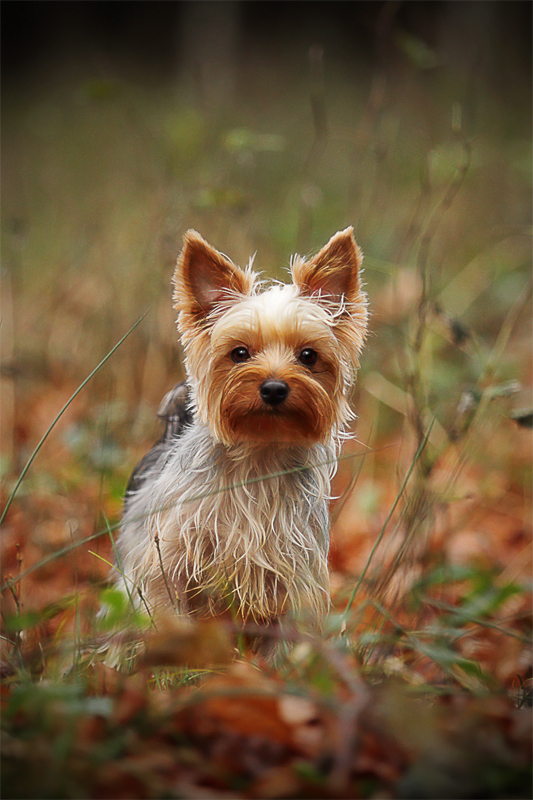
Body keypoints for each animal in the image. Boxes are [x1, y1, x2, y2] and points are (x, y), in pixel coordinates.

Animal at [115, 227, 366, 648]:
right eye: (240, 353)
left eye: (309, 356)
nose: (274, 388)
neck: (259, 452)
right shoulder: (169, 562)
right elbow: (169, 611)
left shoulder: (292, 574)